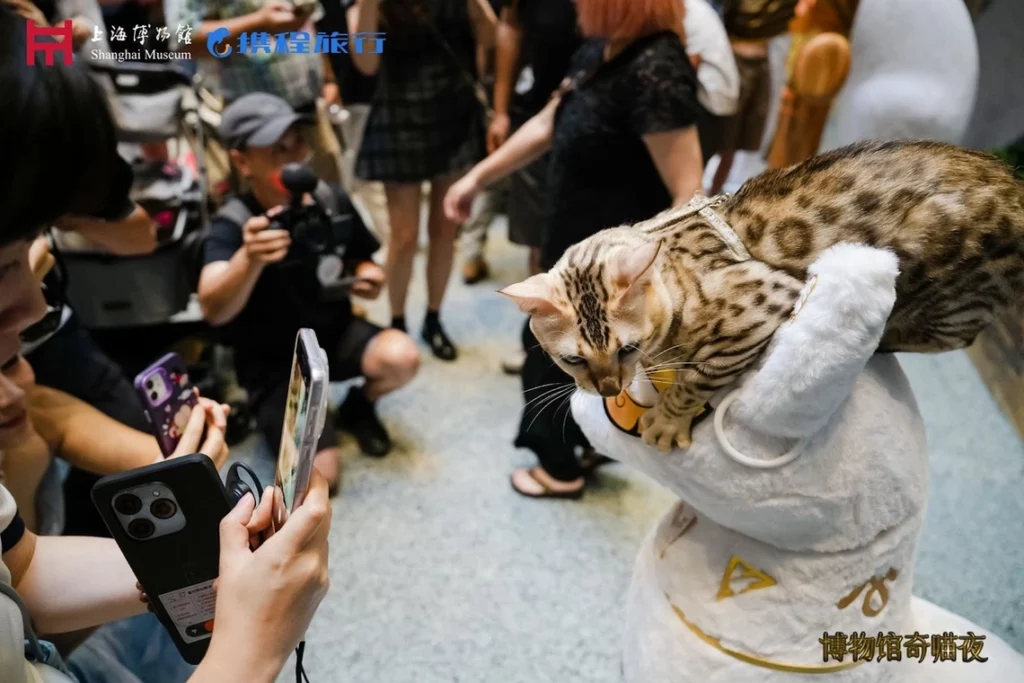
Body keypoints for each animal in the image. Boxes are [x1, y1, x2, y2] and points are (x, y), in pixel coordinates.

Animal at [501, 139, 1024, 450]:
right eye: (572, 360)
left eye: (625, 348)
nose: (609, 389)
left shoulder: (764, 302)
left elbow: (697, 379)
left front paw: (667, 420)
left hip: (943, 299)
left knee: (957, 336)